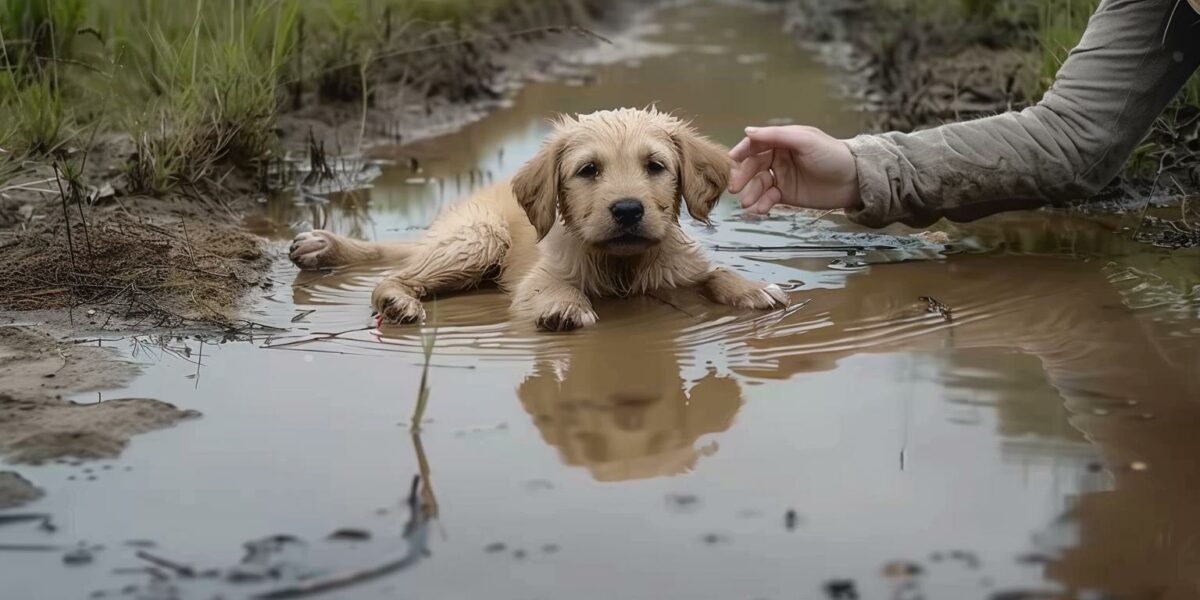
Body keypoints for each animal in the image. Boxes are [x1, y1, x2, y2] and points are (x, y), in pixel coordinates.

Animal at [285, 109, 782, 333]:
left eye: (655, 166)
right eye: (588, 170)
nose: (627, 210)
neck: (621, 263)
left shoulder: (678, 270)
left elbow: (713, 272)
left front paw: (750, 287)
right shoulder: (536, 279)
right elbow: (554, 287)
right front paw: (565, 306)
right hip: (477, 237)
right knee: (394, 276)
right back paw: (397, 302)